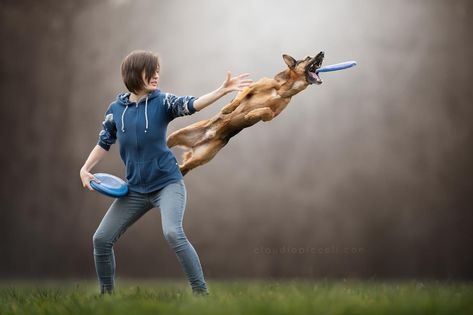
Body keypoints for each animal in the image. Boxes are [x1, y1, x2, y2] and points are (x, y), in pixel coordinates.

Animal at [166, 51, 324, 175]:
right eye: (308, 57)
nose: (322, 53)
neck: (283, 88)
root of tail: (206, 136)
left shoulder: (272, 115)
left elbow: (267, 111)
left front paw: (251, 115)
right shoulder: (251, 87)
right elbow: (240, 97)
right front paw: (228, 109)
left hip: (198, 159)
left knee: (182, 168)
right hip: (173, 137)